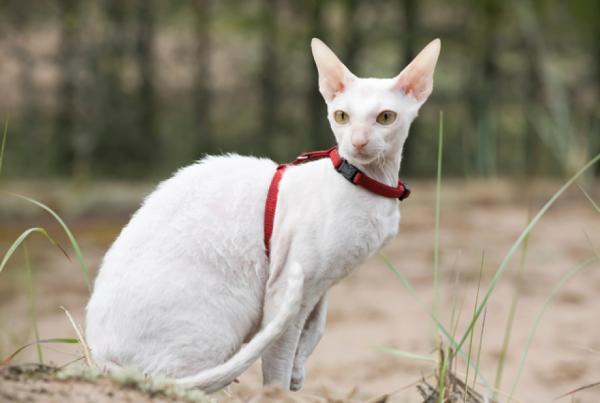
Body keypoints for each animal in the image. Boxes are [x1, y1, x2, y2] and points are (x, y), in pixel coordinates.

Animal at [85, 37, 440, 392]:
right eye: (341, 116)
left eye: (385, 117)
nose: (358, 142)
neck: (367, 183)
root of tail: (100, 354)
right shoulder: (287, 287)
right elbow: (277, 363)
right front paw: (282, 390)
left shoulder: (322, 282)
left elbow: (316, 327)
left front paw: (299, 373)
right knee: (182, 382)